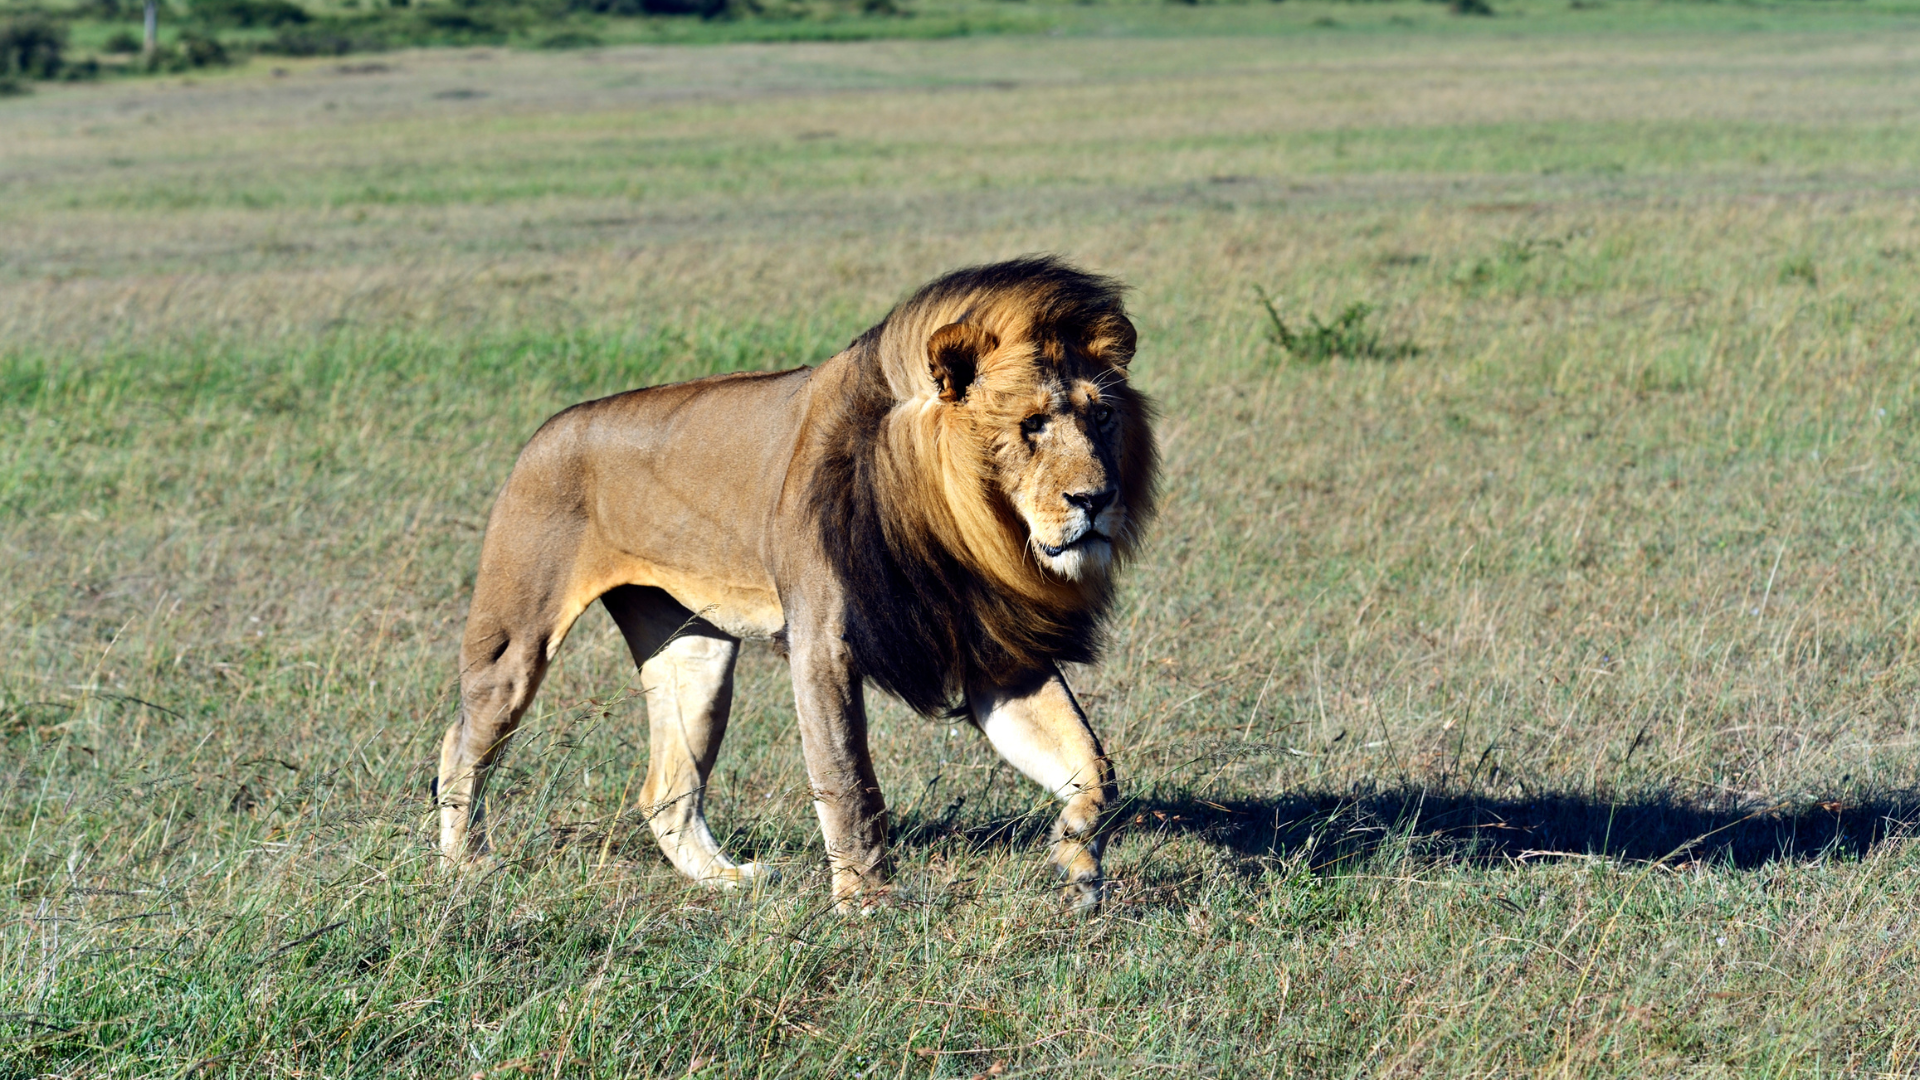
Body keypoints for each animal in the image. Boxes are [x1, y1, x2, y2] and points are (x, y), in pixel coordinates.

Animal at [435, 256, 1158, 910]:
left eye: (1101, 418)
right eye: (1030, 425)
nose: (1096, 499)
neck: (956, 532)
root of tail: (546, 430)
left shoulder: (995, 651)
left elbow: (1092, 767)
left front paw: (1077, 862)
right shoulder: (822, 644)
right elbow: (849, 780)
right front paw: (868, 903)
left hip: (694, 654)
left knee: (666, 791)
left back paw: (726, 881)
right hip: (516, 637)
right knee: (461, 741)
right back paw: (466, 866)